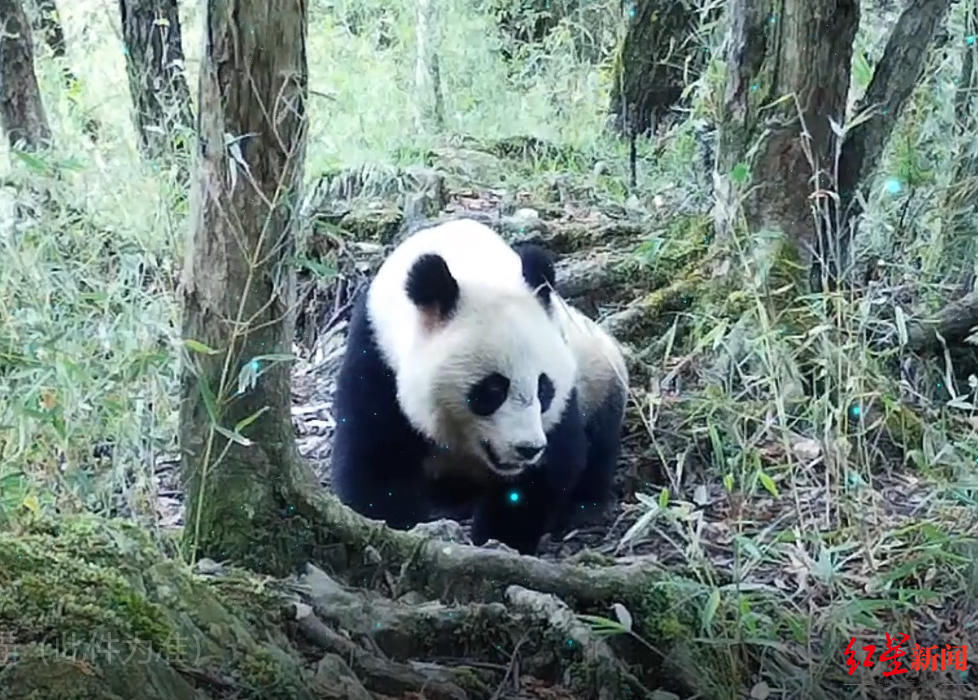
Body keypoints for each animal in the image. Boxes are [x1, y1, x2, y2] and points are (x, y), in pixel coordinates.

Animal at [328, 216, 628, 556]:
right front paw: (397, 524)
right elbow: (375, 457)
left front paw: (501, 537)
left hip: (600, 368)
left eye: (544, 388)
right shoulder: (375, 354)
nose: (527, 448)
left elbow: (554, 462)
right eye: (493, 390)